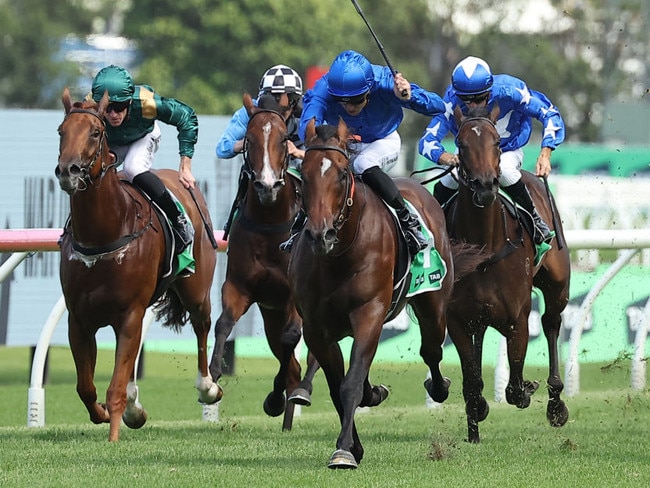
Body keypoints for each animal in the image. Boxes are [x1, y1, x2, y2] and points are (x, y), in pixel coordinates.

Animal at [56, 88, 218, 442]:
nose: (68, 171)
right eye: (61, 131)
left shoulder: (129, 312)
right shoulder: (79, 319)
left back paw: (208, 387)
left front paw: (114, 434)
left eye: (96, 132)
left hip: (196, 290)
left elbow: (114, 385)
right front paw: (105, 414)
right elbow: (85, 387)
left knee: (202, 326)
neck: (104, 232)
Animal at [209, 92, 318, 430]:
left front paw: (275, 398)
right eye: (250, 139)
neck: (271, 222)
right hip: (271, 314)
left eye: (284, 139)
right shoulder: (240, 286)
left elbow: (292, 339)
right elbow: (223, 323)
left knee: (306, 359)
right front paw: (212, 376)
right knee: (289, 358)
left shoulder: (296, 299)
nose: (267, 186)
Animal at [288, 118, 480, 468]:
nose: (321, 235)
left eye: (341, 173)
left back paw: (439, 386)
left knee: (431, 350)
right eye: (303, 174)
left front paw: (343, 451)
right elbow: (338, 386)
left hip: (433, 305)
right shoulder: (316, 328)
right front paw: (353, 444)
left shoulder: (370, 312)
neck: (340, 255)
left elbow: (349, 385)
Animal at [446, 106, 568, 442]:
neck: (485, 248)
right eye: (460, 144)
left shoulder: (517, 318)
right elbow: (472, 380)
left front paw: (528, 387)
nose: (486, 186)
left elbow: (514, 387)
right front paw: (474, 423)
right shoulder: (457, 320)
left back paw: (556, 403)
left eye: (498, 143)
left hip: (558, 285)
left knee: (551, 322)